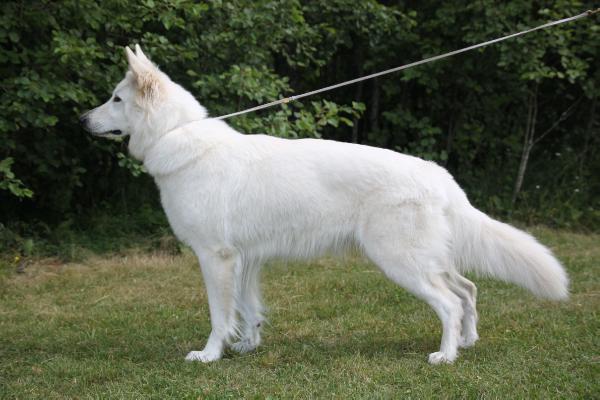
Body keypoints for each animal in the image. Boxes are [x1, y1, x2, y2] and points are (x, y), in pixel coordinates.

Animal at [82, 45, 568, 364]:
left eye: (116, 99)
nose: (82, 120)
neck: (175, 136)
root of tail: (438, 175)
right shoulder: (244, 259)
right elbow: (248, 309)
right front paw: (248, 346)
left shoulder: (215, 258)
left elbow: (221, 314)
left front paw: (210, 354)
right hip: (429, 257)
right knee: (467, 290)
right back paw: (467, 342)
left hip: (400, 261)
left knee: (449, 302)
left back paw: (445, 356)